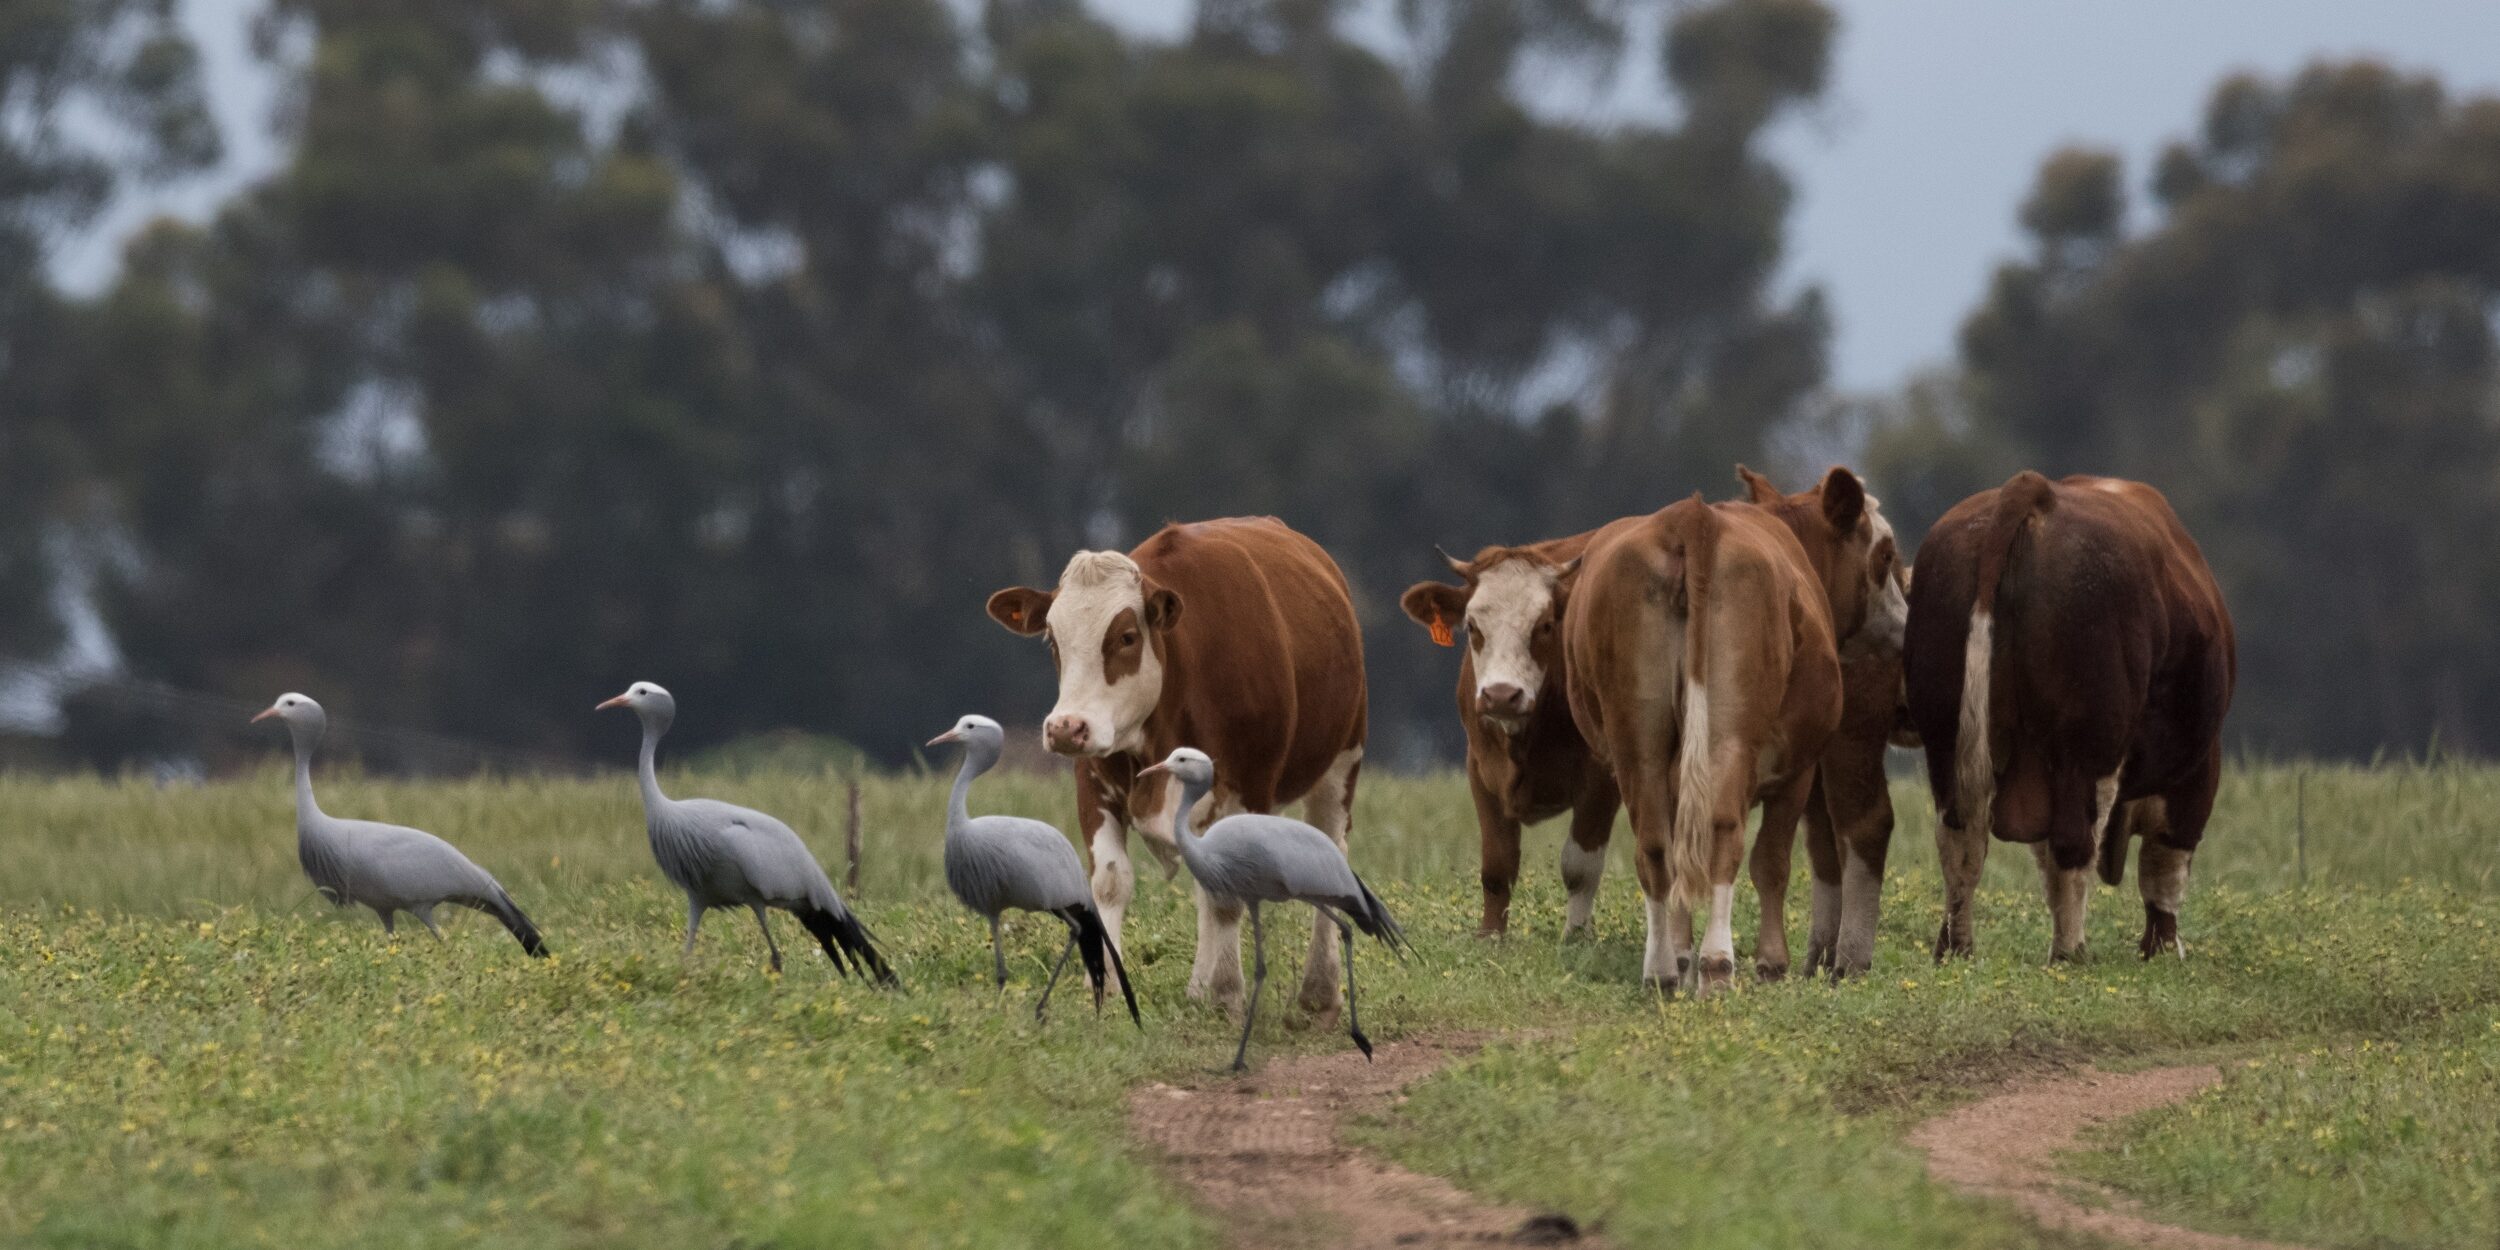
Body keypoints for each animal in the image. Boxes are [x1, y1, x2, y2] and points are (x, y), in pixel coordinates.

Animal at [980, 517, 1370, 1015]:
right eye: (1053, 640)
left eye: (1126, 637)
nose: (1066, 727)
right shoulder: (1094, 782)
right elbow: (1111, 881)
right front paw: (1105, 983)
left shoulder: (1248, 787)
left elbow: (1226, 896)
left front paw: (1225, 992)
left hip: (1341, 762)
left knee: (1331, 850)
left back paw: (1318, 993)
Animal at [1410, 530, 1620, 940]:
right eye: (1472, 627)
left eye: (1546, 625)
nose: (1502, 694)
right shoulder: (1480, 769)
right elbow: (1497, 864)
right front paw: (1491, 936)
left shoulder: (1603, 777)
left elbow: (1580, 867)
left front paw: (1577, 937)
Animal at [1900, 472, 2240, 960]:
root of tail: (2036, 492)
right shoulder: (2196, 768)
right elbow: (2165, 864)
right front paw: (2162, 949)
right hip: (2086, 746)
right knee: (2075, 844)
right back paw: (2071, 952)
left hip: (1946, 738)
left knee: (1961, 840)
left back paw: (1956, 948)